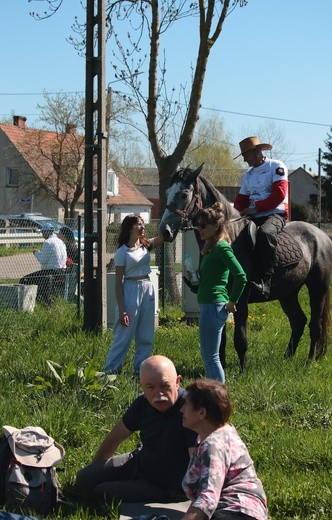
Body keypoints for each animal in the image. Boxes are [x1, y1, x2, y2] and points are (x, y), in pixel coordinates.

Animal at [158, 165, 332, 372]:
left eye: (184, 194)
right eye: (167, 192)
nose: (165, 231)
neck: (226, 238)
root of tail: (321, 235)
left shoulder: (240, 299)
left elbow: (240, 337)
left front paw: (243, 370)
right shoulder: (219, 296)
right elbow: (221, 338)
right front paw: (222, 366)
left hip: (317, 288)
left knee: (315, 325)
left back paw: (309, 361)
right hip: (288, 292)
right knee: (298, 321)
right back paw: (287, 358)